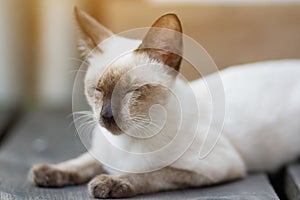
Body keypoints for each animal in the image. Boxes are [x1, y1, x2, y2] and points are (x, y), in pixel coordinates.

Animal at [29, 6, 300, 198]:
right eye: (97, 89)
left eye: (132, 91)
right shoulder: (99, 153)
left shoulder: (218, 167)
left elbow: (152, 174)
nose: (106, 116)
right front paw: (48, 172)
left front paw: (109, 183)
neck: (127, 143)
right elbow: (84, 161)